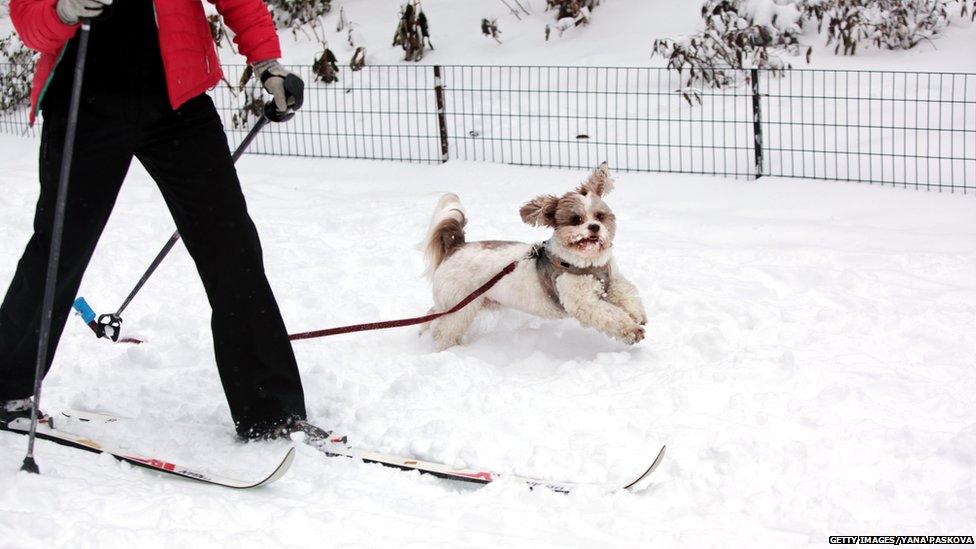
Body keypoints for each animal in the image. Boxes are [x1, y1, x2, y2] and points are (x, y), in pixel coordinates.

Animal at [422, 164, 644, 352]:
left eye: (599, 216)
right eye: (576, 220)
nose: (595, 227)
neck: (587, 262)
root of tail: (457, 246)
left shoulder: (613, 280)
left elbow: (627, 293)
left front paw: (638, 316)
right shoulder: (583, 302)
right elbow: (610, 315)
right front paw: (632, 330)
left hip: (462, 301)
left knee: (433, 314)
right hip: (459, 304)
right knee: (444, 330)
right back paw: (449, 348)